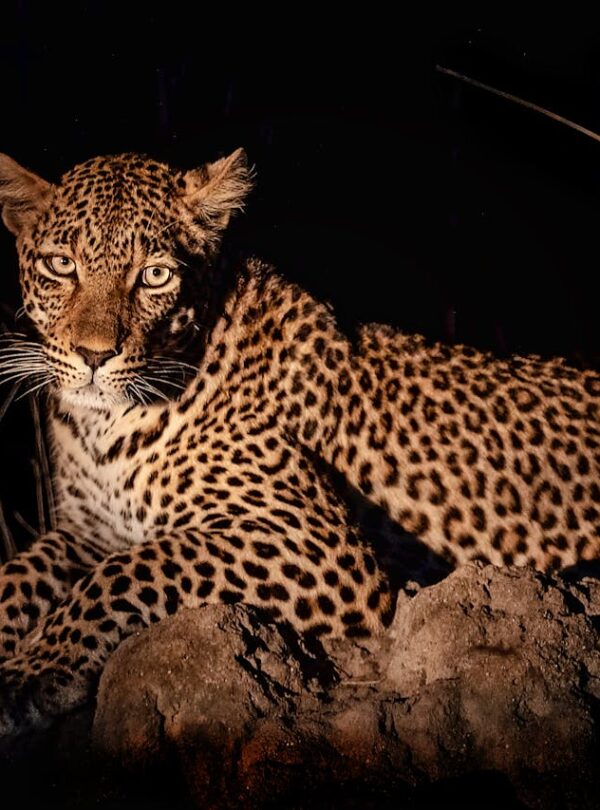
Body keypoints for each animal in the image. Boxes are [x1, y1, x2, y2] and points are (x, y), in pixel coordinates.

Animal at [0, 147, 598, 738]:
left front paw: (32, 672)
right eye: (61, 266)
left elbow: (129, 570)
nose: (93, 355)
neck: (103, 428)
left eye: (155, 275)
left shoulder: (316, 543)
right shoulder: (90, 529)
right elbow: (22, 570)